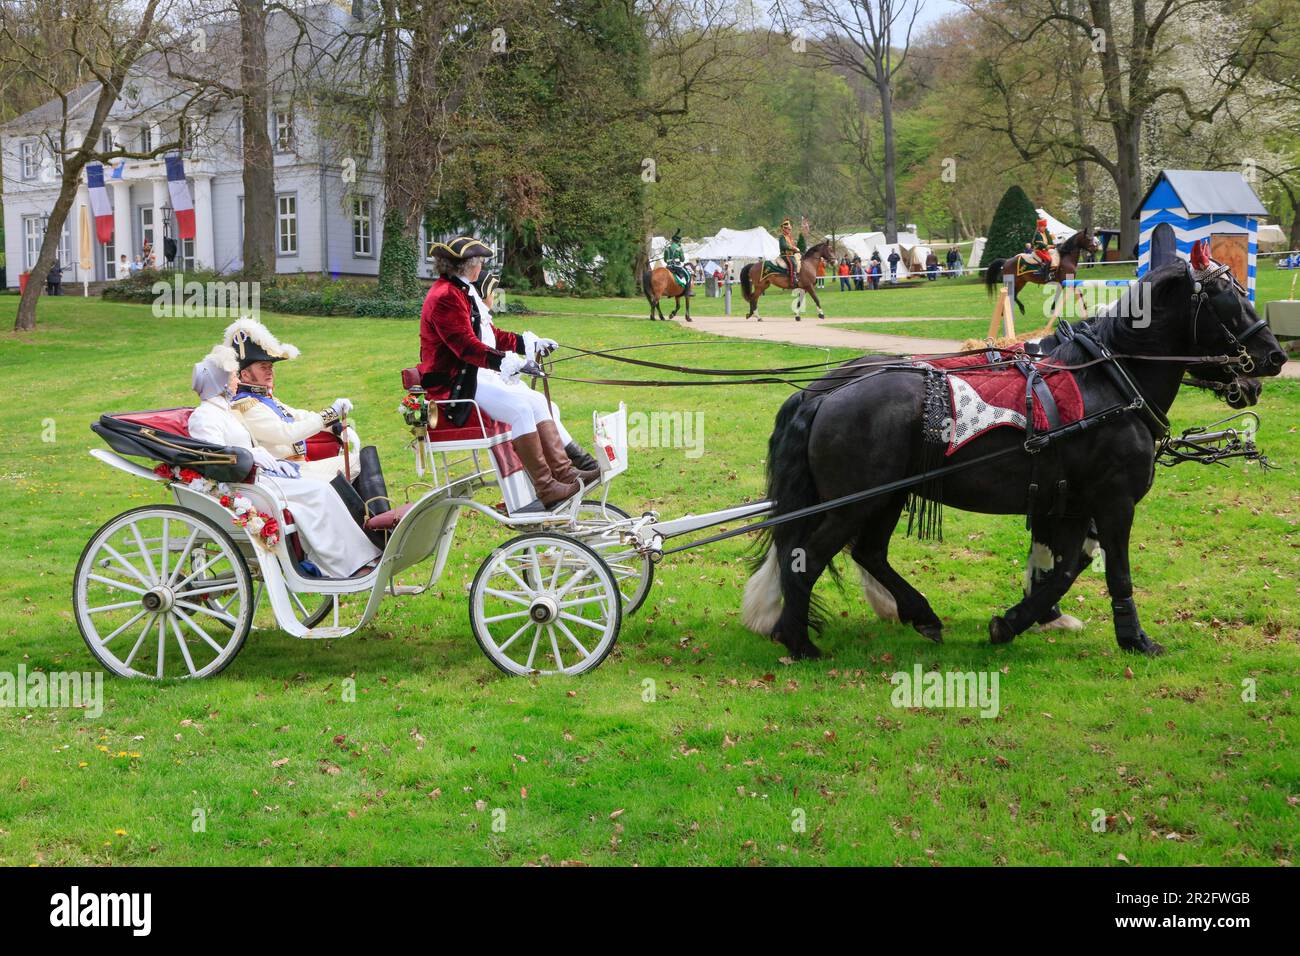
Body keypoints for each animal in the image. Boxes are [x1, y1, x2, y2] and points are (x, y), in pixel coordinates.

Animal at [748, 265, 1284, 660]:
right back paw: (799, 641)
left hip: (884, 499)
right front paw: (1133, 638)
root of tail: (822, 392)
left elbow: (1063, 567)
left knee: (868, 553)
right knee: (806, 557)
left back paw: (920, 614)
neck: (1109, 383)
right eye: (1229, 303)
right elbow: (1109, 571)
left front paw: (1022, 619)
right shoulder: (1114, 501)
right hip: (854, 503)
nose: (1274, 357)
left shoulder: (1069, 503)